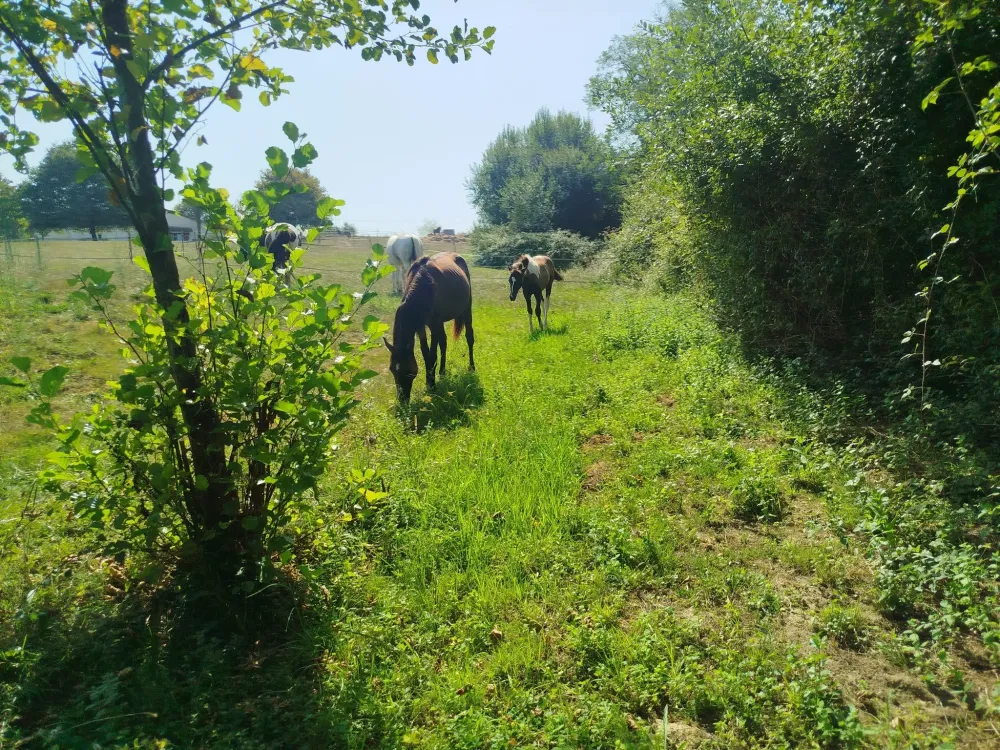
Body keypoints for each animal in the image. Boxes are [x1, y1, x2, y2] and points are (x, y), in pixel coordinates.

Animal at [383, 252, 475, 403]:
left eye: (408, 372)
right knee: (443, 343)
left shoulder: (434, 325)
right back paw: (442, 372)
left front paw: (431, 385)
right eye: (392, 369)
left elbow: (432, 355)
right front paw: (429, 381)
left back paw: (472, 367)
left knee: (469, 337)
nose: (402, 401)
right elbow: (426, 353)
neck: (425, 285)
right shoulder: (421, 327)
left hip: (467, 309)